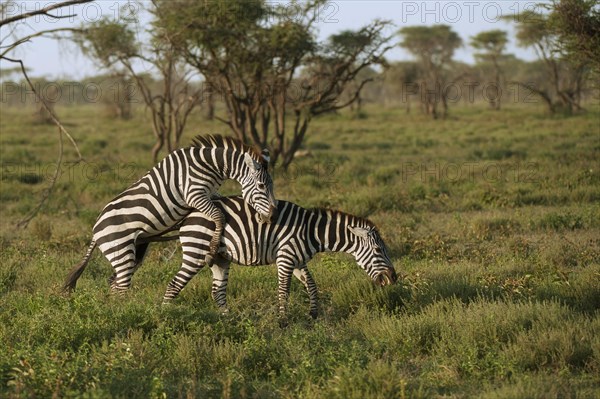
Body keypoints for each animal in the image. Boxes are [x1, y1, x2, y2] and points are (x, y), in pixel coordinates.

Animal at [62, 136, 278, 296]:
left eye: (272, 185)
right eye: (261, 186)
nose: (272, 216)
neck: (209, 166)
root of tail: (95, 229)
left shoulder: (210, 194)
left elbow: (221, 207)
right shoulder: (194, 194)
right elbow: (219, 216)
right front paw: (212, 249)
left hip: (136, 251)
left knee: (115, 282)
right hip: (120, 250)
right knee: (120, 286)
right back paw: (122, 314)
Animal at [144, 196, 398, 318]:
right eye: (379, 251)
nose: (393, 278)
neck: (310, 231)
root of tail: (188, 215)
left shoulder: (298, 260)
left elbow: (312, 285)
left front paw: (313, 315)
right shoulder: (285, 257)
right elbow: (284, 290)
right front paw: (283, 321)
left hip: (219, 258)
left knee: (218, 292)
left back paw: (228, 320)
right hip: (197, 251)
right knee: (174, 285)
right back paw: (166, 317)